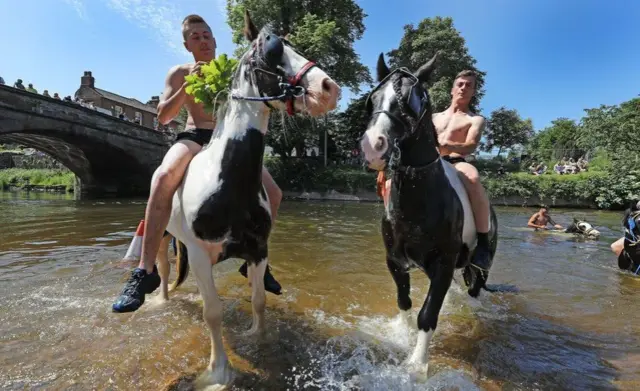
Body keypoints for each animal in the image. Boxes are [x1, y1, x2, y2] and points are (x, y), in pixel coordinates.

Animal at [152, 10, 340, 388]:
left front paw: (259, 339)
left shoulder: (257, 249)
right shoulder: (198, 254)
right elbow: (212, 313)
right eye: (272, 49)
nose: (329, 88)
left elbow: (258, 299)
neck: (226, 182)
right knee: (163, 270)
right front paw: (218, 371)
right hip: (164, 234)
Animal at [358, 53, 498, 372]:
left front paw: (416, 367)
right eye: (374, 98)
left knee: (475, 291)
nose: (373, 147)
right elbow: (405, 303)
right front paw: (403, 340)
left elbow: (428, 315)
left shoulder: (443, 264)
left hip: (478, 267)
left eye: (414, 99)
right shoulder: (395, 262)